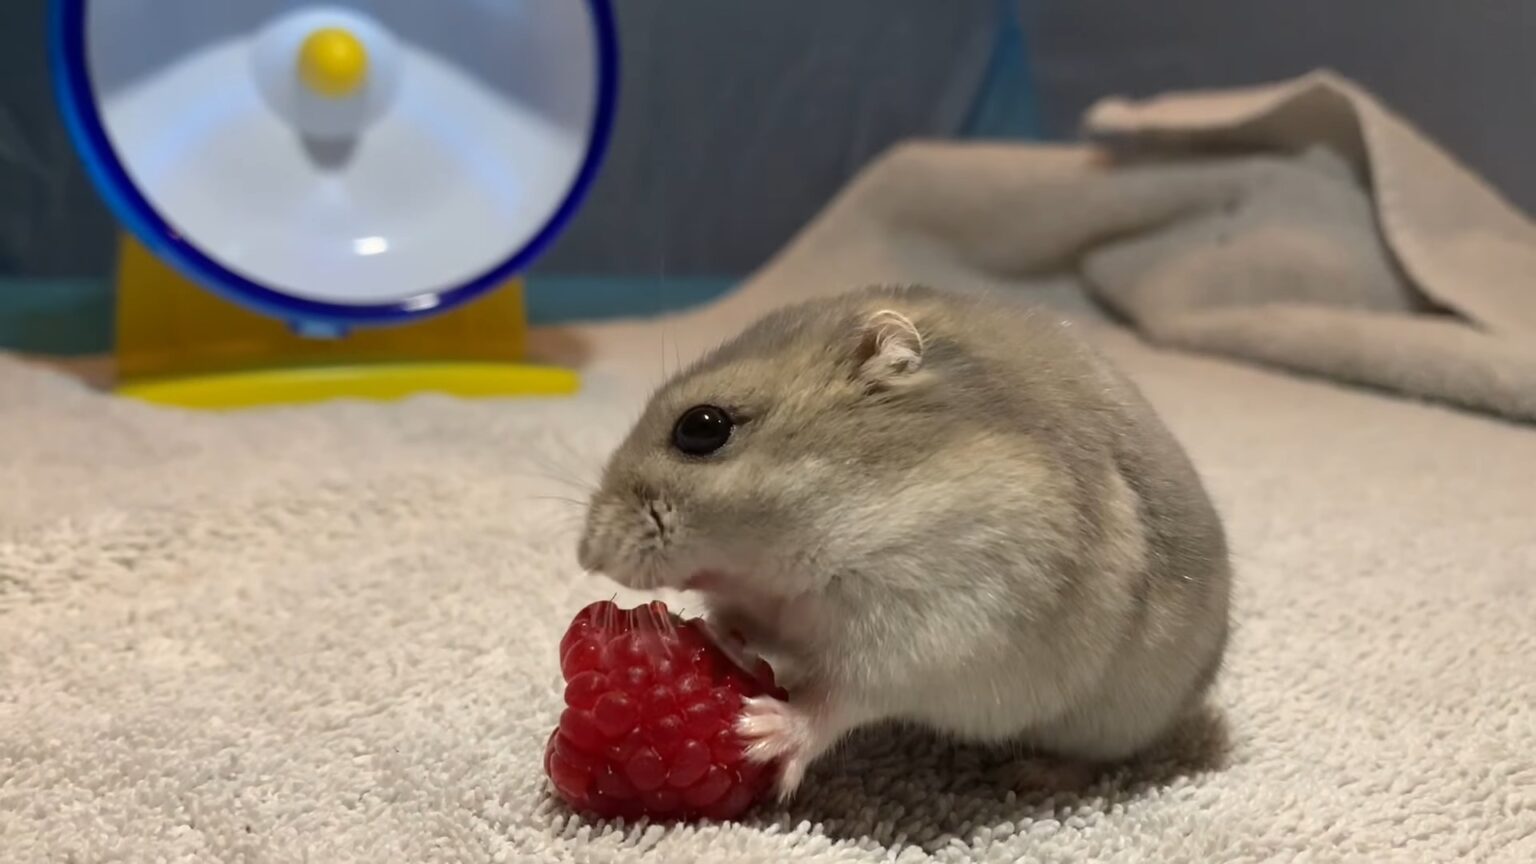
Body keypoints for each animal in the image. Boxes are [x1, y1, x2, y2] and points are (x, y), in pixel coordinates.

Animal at [577, 284, 1231, 799]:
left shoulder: (926, 629)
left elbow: (837, 699)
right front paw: (722, 641)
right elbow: (743, 623)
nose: (586, 555)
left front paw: (757, 733)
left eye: (701, 427)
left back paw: (1031, 776)